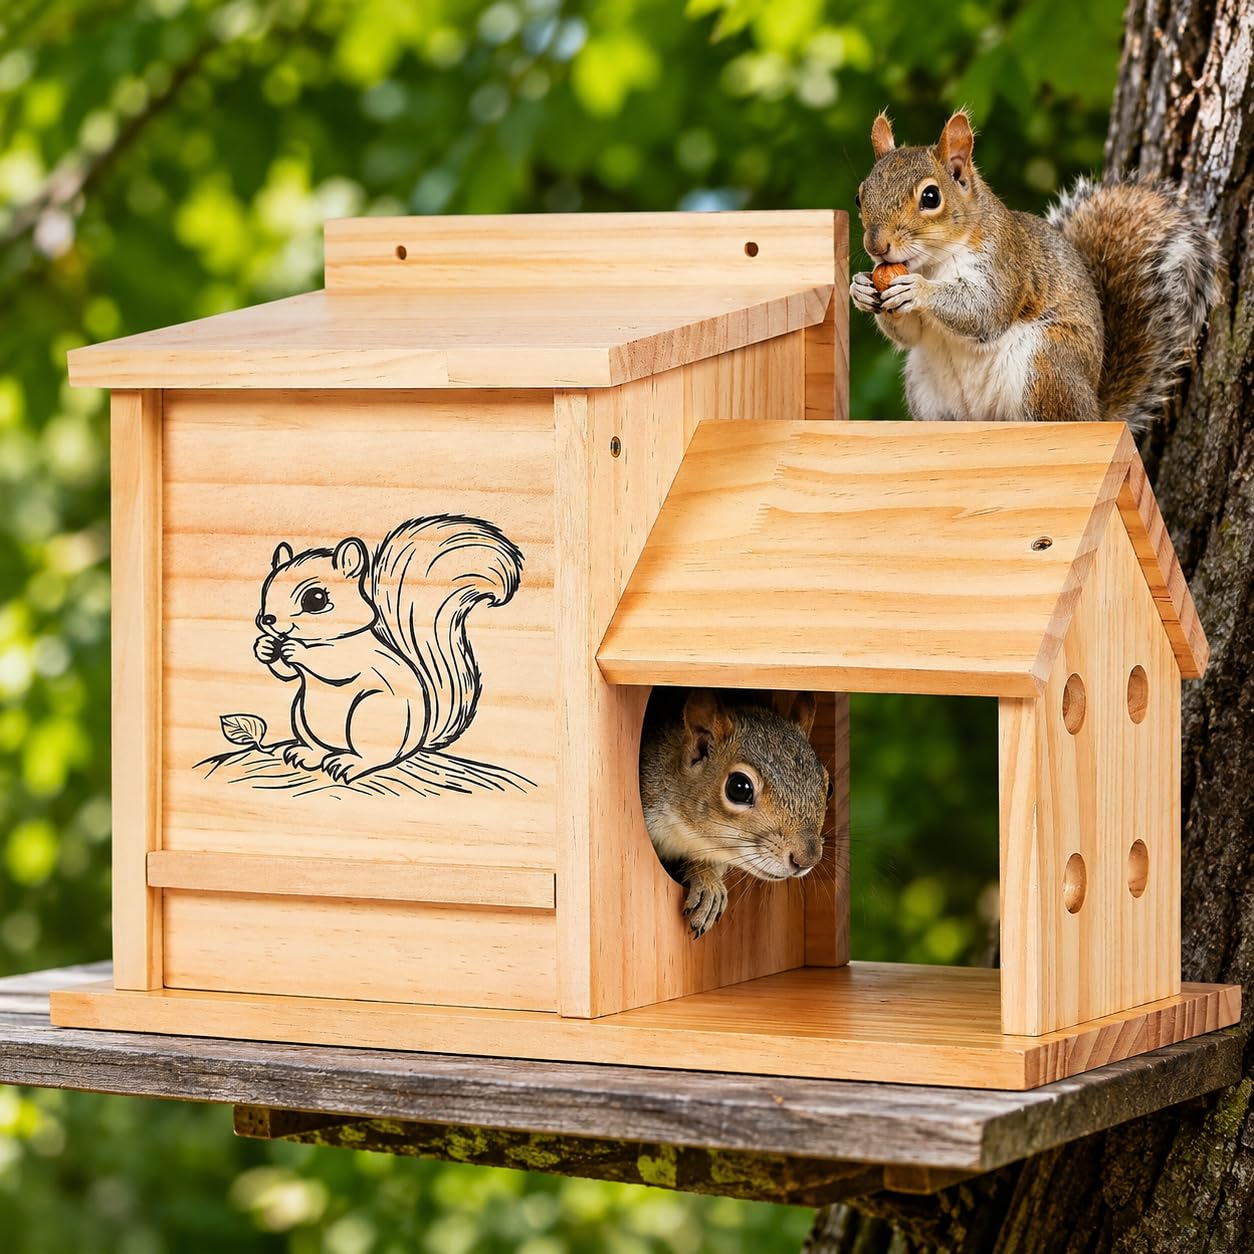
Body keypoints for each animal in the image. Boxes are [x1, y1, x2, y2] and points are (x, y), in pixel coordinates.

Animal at [253, 514, 523, 783]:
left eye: (316, 598)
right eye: (266, 588)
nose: (267, 619)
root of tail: (417, 742)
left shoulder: (354, 652)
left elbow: (335, 666)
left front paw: (294, 649)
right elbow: (289, 673)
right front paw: (265, 647)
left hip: (370, 712)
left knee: (377, 757)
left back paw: (350, 764)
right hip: (300, 715)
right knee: (321, 747)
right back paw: (307, 753)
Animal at [850, 110, 1219, 425]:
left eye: (930, 197)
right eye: (859, 196)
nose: (876, 246)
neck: (931, 263)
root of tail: (1096, 413)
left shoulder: (1004, 264)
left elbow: (985, 310)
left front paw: (917, 290)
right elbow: (911, 333)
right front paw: (861, 288)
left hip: (1045, 366)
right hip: (924, 386)